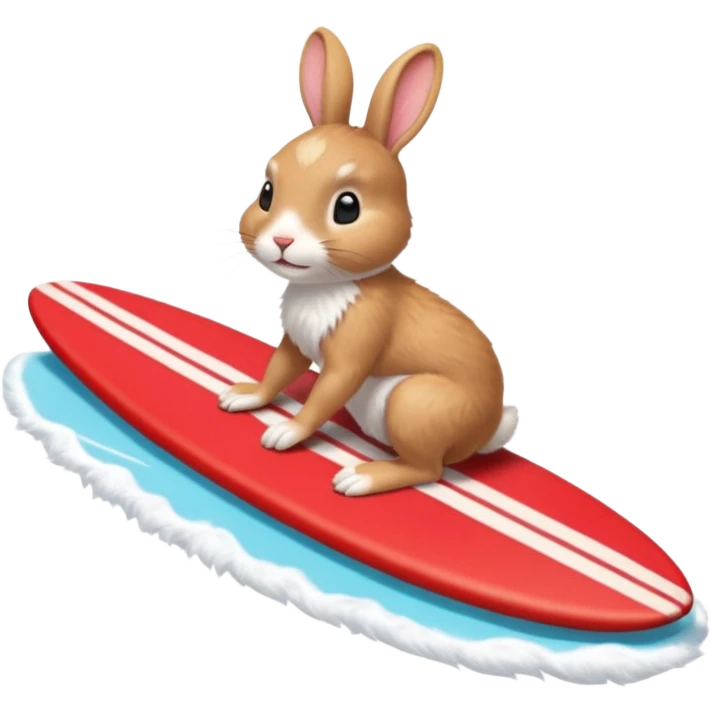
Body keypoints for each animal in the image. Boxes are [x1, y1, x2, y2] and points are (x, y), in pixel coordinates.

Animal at [218, 26, 519, 496]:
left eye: (347, 208)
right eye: (267, 193)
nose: (282, 240)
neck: (329, 284)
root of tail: (485, 433)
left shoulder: (353, 352)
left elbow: (323, 394)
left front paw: (285, 433)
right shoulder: (296, 343)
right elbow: (279, 370)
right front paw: (245, 395)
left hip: (415, 403)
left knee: (428, 470)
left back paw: (362, 476)